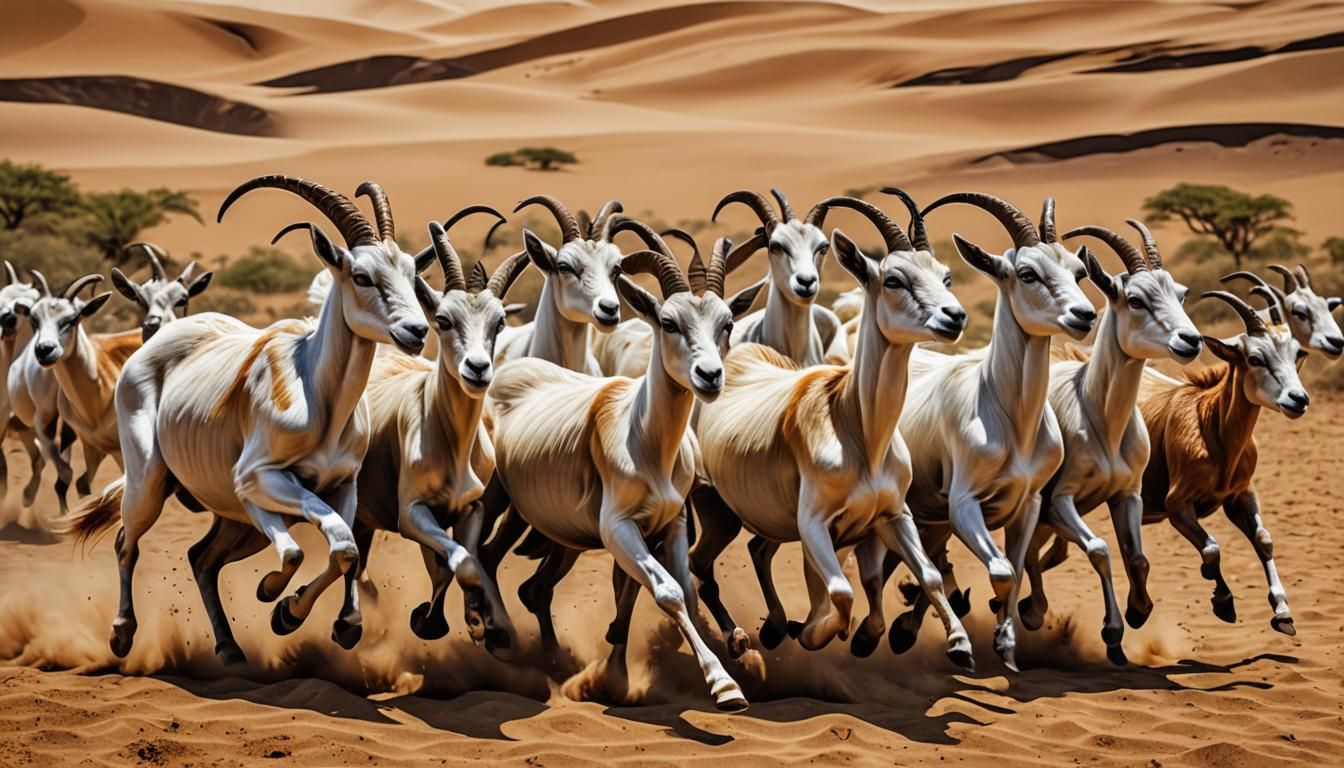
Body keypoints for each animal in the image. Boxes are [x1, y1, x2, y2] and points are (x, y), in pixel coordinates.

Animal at [63, 176, 430, 665]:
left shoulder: (341, 486)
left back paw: (229, 646)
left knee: (201, 557)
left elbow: (346, 550)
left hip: (234, 517)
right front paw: (273, 597)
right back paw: (122, 635)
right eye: (361, 275)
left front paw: (312, 618)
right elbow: (302, 552)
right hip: (151, 483)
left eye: (411, 274)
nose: (417, 331)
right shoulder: (258, 480)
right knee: (128, 542)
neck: (319, 400)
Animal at [486, 241, 748, 710]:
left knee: (518, 577)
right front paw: (724, 686)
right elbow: (669, 592)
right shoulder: (618, 529)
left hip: (538, 524)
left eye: (727, 323)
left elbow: (686, 587)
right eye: (668, 322)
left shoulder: (672, 523)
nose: (710, 376)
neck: (643, 441)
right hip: (494, 500)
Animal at [691, 195, 974, 668]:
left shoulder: (893, 516)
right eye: (893, 278)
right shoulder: (814, 526)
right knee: (698, 563)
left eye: (946, 276)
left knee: (754, 550)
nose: (954, 316)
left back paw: (768, 629)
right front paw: (810, 633)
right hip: (716, 511)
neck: (859, 431)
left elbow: (928, 574)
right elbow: (841, 592)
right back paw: (745, 640)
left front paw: (959, 645)